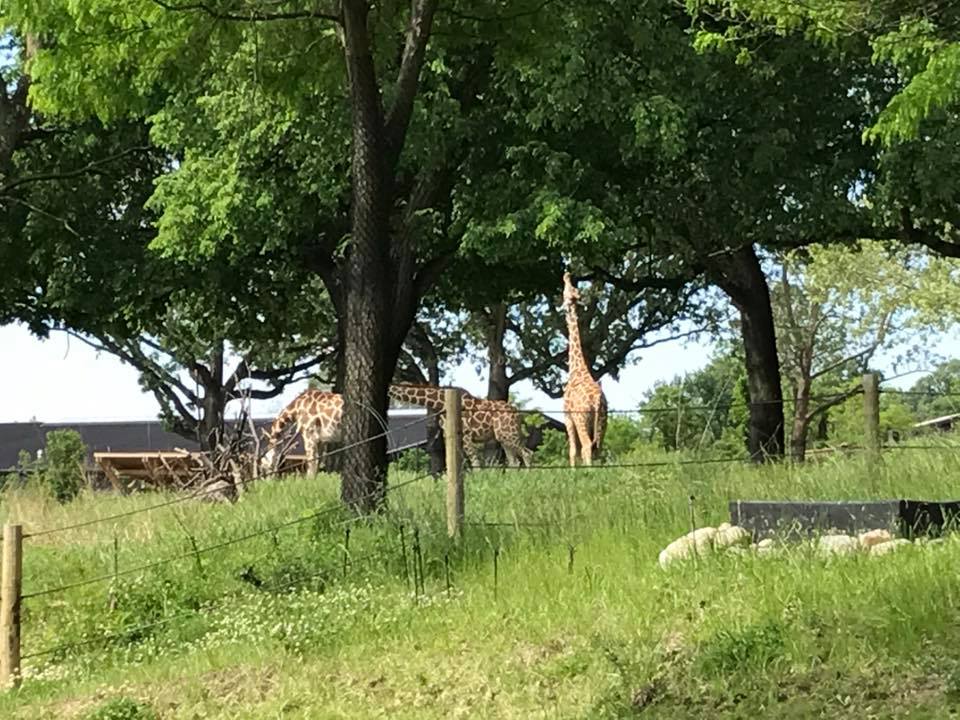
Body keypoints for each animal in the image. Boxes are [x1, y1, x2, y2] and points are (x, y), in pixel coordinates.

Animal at [388, 384, 533, 468]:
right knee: (514, 461)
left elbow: (475, 462)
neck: (440, 402)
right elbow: (453, 462)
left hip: (509, 433)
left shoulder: (466, 435)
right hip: (503, 435)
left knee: (527, 453)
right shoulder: (448, 435)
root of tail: (517, 413)